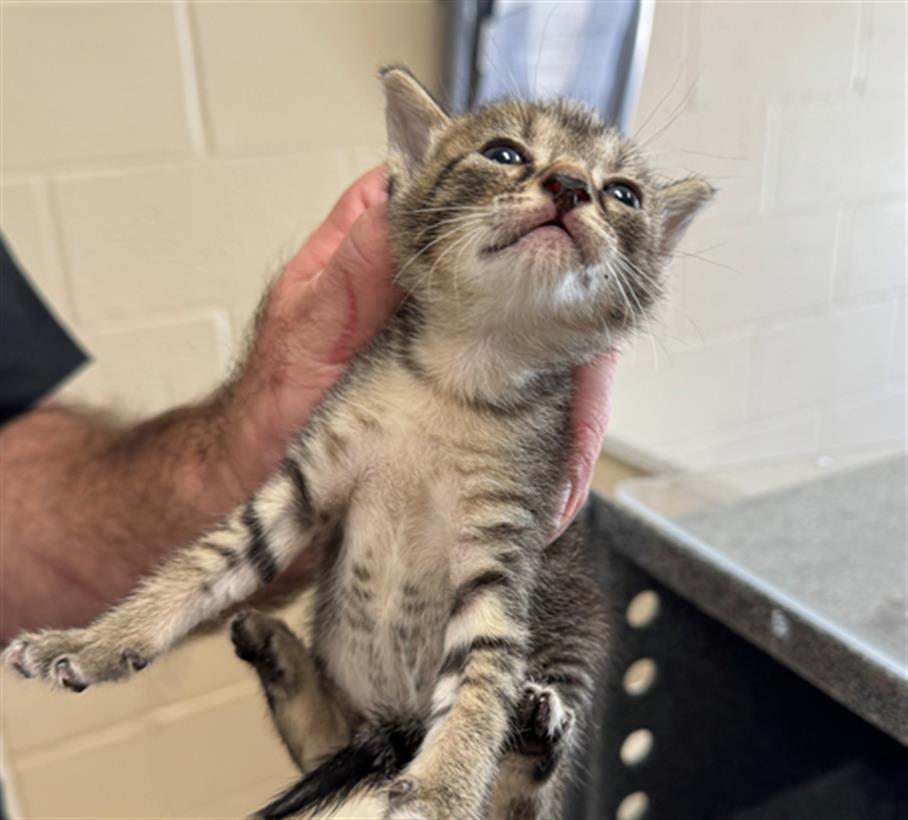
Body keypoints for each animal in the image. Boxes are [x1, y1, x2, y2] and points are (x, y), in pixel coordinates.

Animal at [1, 65, 708, 820]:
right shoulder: (302, 484)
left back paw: (532, 733)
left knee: (523, 792)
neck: (461, 374)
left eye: (624, 194)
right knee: (323, 741)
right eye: (506, 153)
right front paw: (99, 640)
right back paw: (278, 652)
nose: (572, 185)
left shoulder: (506, 545)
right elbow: (200, 565)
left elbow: (484, 671)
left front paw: (443, 786)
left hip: (575, 621)